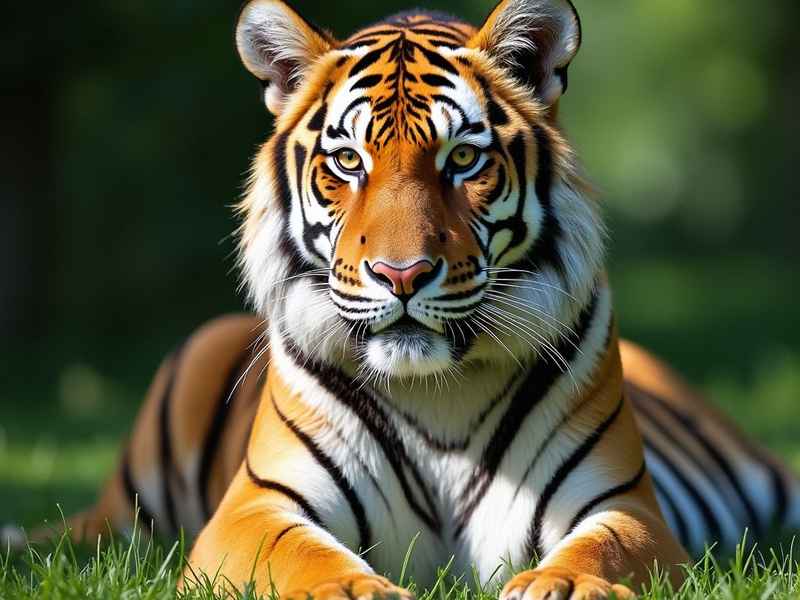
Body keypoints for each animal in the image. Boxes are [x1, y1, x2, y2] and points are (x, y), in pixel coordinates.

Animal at [6, 0, 800, 598]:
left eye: (464, 159)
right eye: (347, 161)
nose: (402, 273)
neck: (438, 391)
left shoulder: (625, 504)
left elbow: (600, 550)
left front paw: (561, 586)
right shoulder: (254, 507)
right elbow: (301, 556)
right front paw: (354, 590)